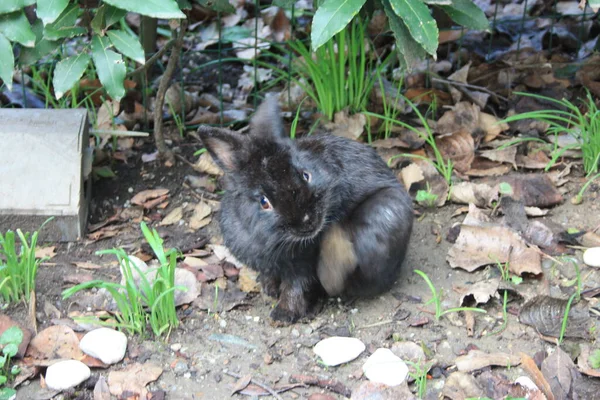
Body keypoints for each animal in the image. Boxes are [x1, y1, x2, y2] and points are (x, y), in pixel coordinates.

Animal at [198, 95, 412, 324]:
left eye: (305, 175)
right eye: (264, 202)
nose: (308, 221)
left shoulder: (301, 268)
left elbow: (296, 288)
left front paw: (282, 315)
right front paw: (269, 289)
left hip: (384, 213)